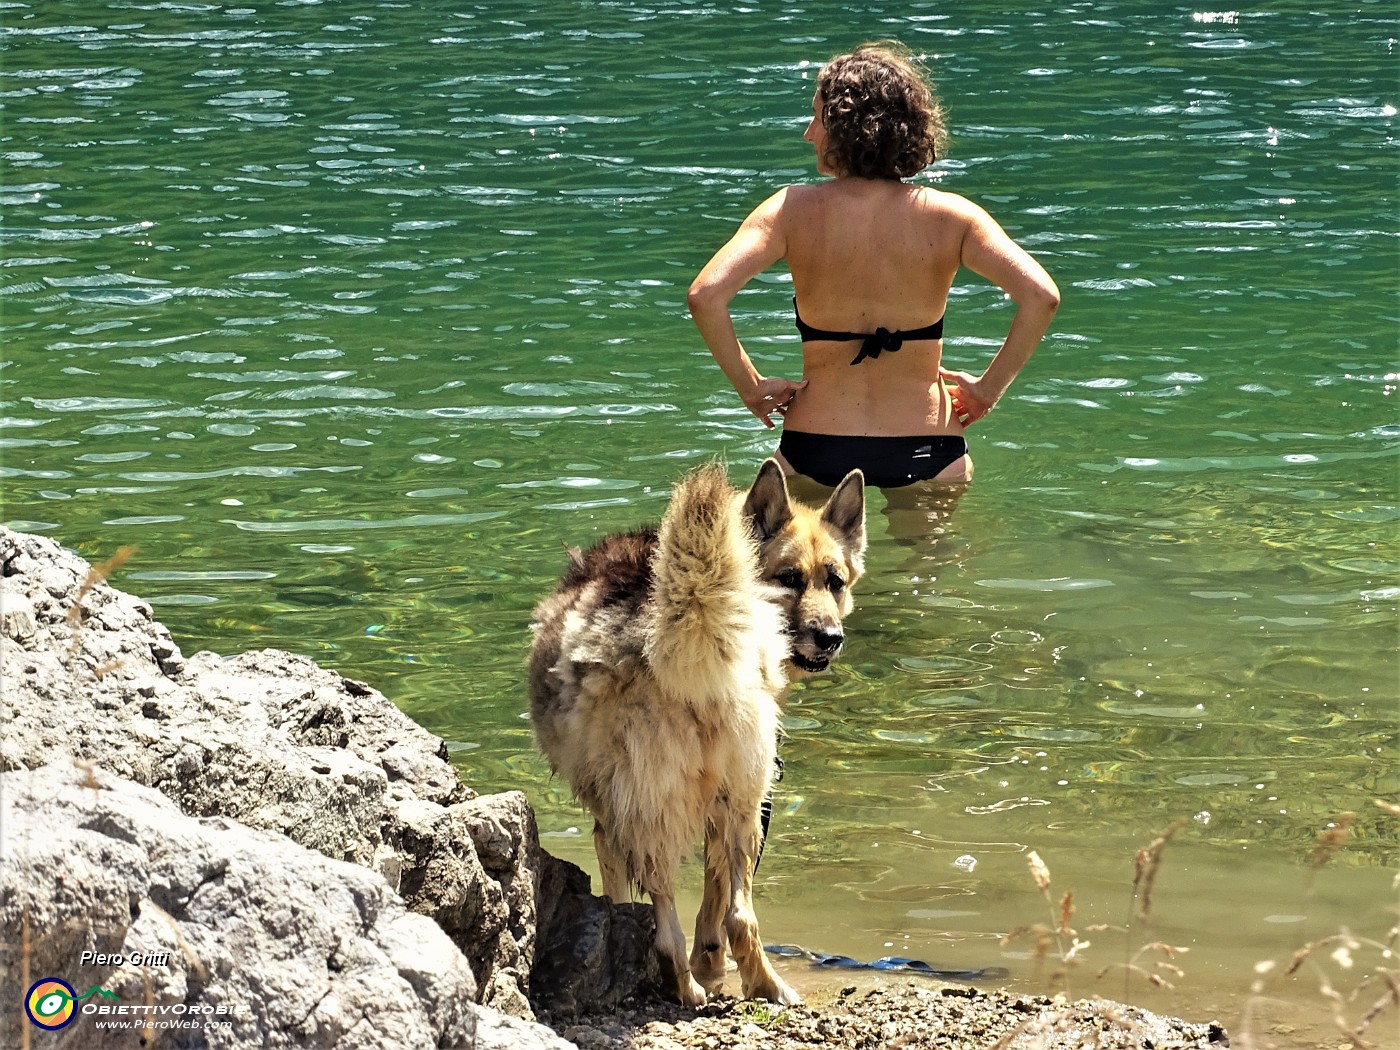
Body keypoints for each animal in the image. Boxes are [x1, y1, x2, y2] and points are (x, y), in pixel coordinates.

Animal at [529, 464, 862, 1008]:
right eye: (789, 579)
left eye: (834, 581)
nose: (830, 638)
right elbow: (715, 894)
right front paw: (710, 961)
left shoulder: (614, 823)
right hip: (744, 803)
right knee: (739, 915)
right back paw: (760, 986)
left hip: (672, 806)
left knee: (675, 921)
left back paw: (690, 987)